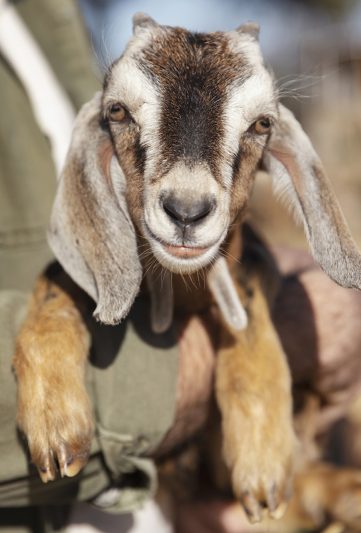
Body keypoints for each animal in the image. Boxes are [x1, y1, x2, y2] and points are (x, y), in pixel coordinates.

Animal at [12, 14, 360, 524]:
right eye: (118, 112)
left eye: (262, 123)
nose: (187, 210)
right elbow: (57, 280)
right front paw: (55, 421)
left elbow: (248, 300)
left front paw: (262, 458)